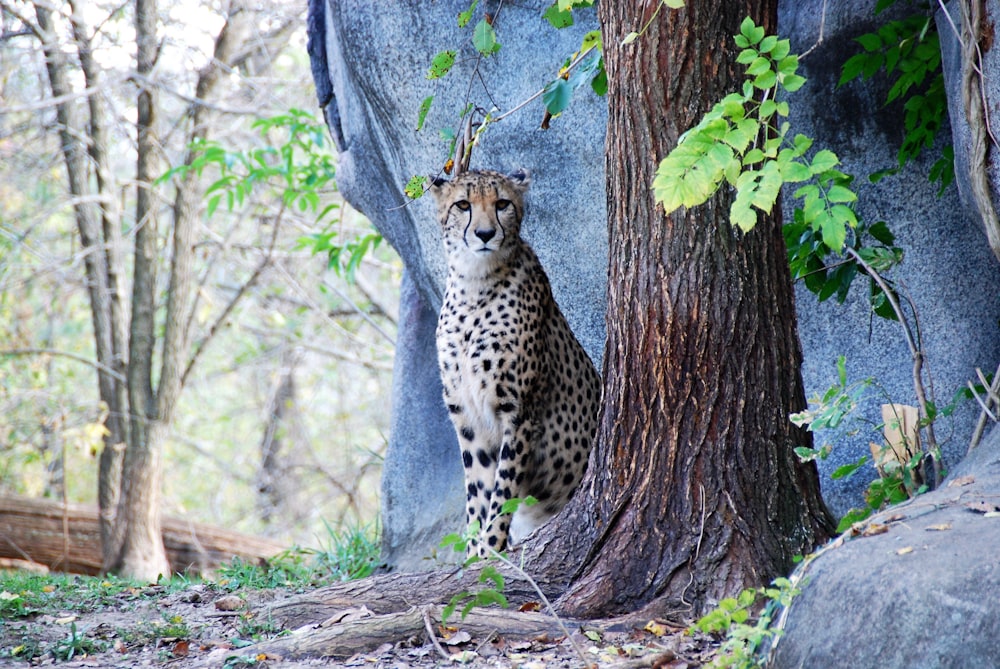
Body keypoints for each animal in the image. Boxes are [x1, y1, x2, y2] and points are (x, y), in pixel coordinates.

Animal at [430, 170, 600, 556]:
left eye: (502, 203)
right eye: (463, 205)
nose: (484, 234)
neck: (474, 284)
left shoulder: (519, 412)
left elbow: (502, 491)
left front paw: (490, 550)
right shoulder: (468, 418)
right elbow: (478, 492)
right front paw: (473, 555)